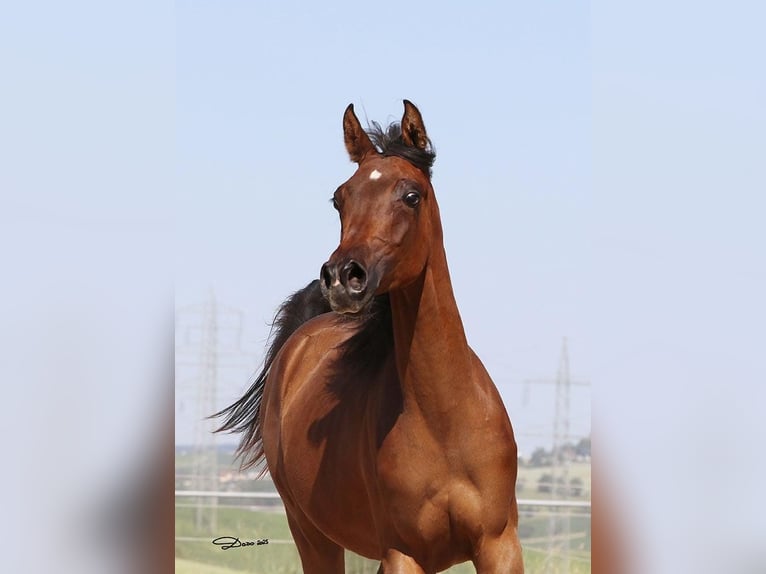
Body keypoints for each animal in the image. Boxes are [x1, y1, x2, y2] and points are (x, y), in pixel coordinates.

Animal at [214, 101, 523, 573]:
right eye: (339, 198)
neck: (446, 423)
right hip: (312, 535)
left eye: (412, 195)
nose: (343, 278)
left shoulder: (499, 545)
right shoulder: (404, 553)